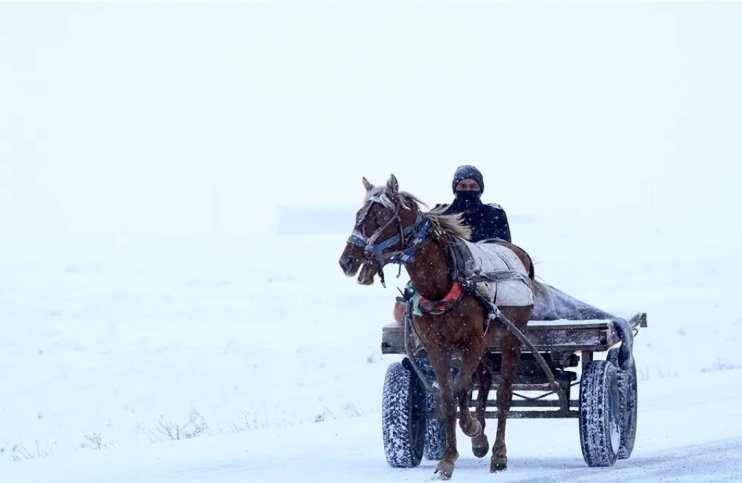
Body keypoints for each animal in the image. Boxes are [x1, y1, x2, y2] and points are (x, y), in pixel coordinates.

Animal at [338, 176, 536, 478]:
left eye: (379, 217)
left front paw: (473, 430)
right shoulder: (436, 348)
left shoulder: (471, 343)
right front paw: (449, 458)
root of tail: (517, 253)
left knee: (503, 395)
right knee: (485, 377)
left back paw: (498, 454)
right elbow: (447, 397)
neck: (443, 284)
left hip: (510, 339)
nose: (346, 261)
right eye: (359, 215)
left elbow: (461, 389)